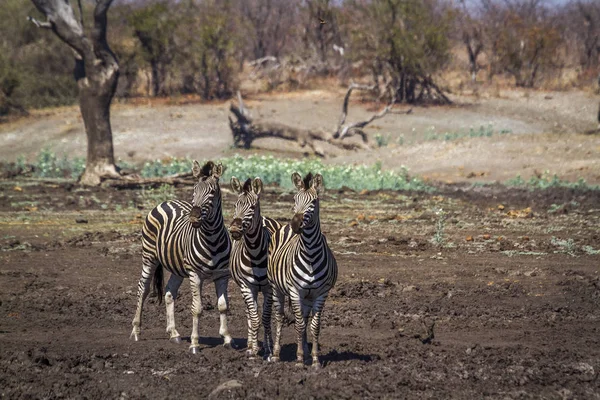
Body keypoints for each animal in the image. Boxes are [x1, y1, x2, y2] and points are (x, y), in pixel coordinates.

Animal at [130, 159, 233, 354]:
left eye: (212, 192)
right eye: (194, 190)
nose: (194, 218)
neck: (212, 240)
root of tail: (166, 201)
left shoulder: (223, 275)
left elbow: (223, 306)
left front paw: (227, 339)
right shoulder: (195, 274)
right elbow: (197, 309)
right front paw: (194, 344)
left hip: (177, 266)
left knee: (170, 292)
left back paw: (174, 333)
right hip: (149, 257)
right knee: (142, 289)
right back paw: (136, 331)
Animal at [229, 177, 282, 358]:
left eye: (252, 207)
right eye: (235, 205)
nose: (234, 229)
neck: (255, 253)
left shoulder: (268, 288)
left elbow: (265, 318)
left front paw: (268, 349)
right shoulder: (246, 286)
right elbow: (254, 318)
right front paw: (253, 349)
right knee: (249, 313)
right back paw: (251, 343)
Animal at [268, 172, 338, 368]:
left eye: (313, 202)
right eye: (294, 199)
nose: (295, 225)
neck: (311, 254)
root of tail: (283, 227)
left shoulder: (321, 293)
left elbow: (314, 325)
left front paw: (314, 359)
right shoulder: (295, 290)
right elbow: (298, 325)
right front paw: (299, 360)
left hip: (307, 296)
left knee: (305, 320)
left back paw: (306, 353)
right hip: (276, 289)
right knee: (279, 317)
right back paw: (276, 354)